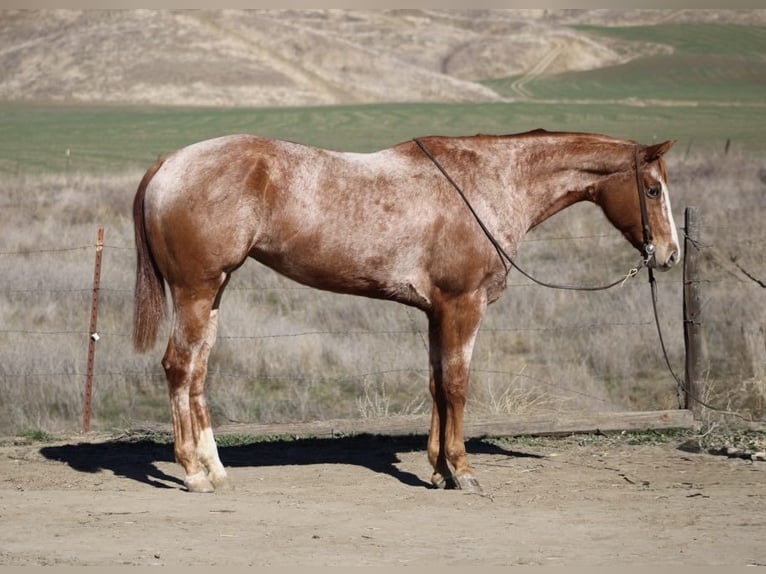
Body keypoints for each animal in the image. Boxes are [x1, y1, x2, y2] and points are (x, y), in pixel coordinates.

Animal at [130, 130, 680, 496]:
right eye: (653, 189)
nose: (671, 254)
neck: (484, 184)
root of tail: (168, 163)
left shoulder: (437, 313)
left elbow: (437, 385)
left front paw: (439, 470)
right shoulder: (462, 306)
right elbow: (457, 385)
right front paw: (464, 470)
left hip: (213, 293)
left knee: (197, 372)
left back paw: (215, 469)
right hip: (197, 291)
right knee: (179, 367)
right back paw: (193, 472)